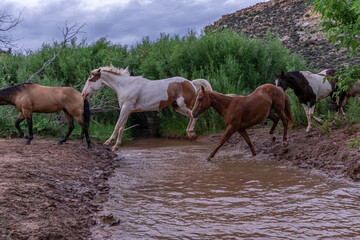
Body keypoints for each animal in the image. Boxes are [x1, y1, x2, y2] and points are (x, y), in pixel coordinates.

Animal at [82, 64, 212, 151]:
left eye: (90, 79)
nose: (83, 94)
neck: (125, 86)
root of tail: (191, 82)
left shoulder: (126, 108)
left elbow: (117, 125)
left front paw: (108, 142)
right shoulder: (127, 110)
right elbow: (122, 127)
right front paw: (116, 146)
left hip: (183, 105)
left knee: (194, 116)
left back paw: (191, 134)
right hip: (177, 107)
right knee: (192, 116)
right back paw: (190, 134)